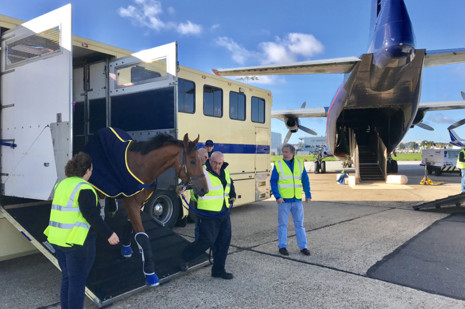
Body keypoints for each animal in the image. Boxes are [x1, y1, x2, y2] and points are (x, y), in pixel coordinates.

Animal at [84, 126, 208, 286]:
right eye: (192, 161)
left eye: (202, 160)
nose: (204, 189)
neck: (143, 168)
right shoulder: (131, 202)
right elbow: (142, 236)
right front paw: (150, 274)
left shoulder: (140, 202)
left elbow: (131, 224)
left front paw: (126, 248)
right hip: (99, 179)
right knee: (100, 196)